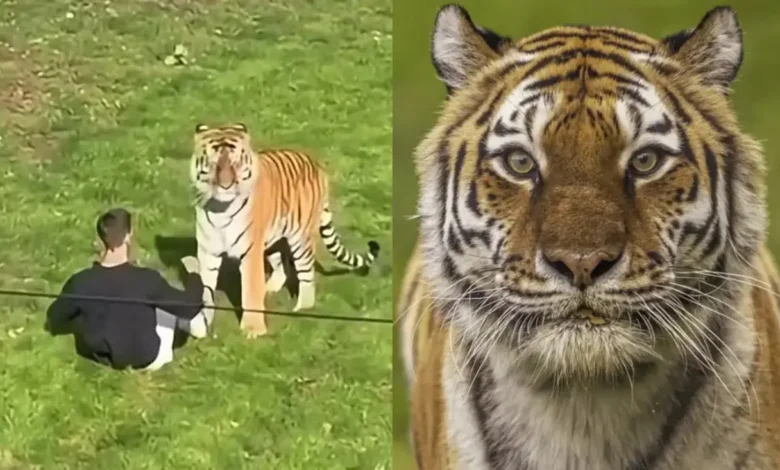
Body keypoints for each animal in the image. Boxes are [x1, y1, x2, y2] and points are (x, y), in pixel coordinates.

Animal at [190, 123, 380, 338]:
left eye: (236, 163)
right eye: (214, 164)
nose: (226, 186)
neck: (220, 209)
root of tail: (316, 165)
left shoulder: (250, 251)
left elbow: (250, 289)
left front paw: (253, 330)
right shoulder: (208, 252)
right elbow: (205, 289)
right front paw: (201, 325)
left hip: (300, 239)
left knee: (306, 274)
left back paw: (302, 308)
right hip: (273, 238)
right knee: (280, 265)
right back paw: (270, 288)